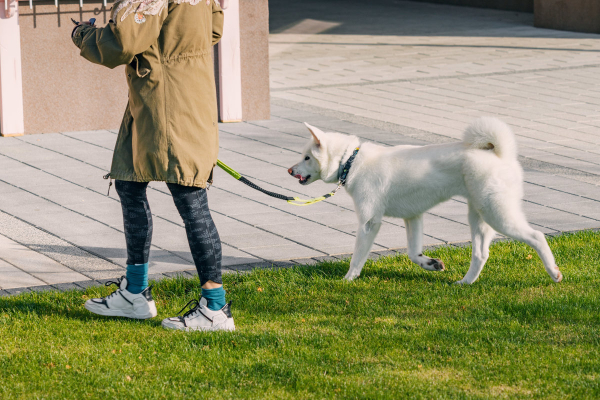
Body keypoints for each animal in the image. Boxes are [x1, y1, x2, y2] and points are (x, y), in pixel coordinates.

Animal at [288, 116, 564, 284]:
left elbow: (358, 257)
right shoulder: (413, 217)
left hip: (498, 215)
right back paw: (464, 283)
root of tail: (500, 154)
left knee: (537, 237)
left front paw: (347, 280)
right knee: (481, 254)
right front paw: (431, 264)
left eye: (306, 157)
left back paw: (554, 273)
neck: (351, 161)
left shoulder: (369, 223)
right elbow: (413, 253)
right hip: (479, 217)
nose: (289, 170)